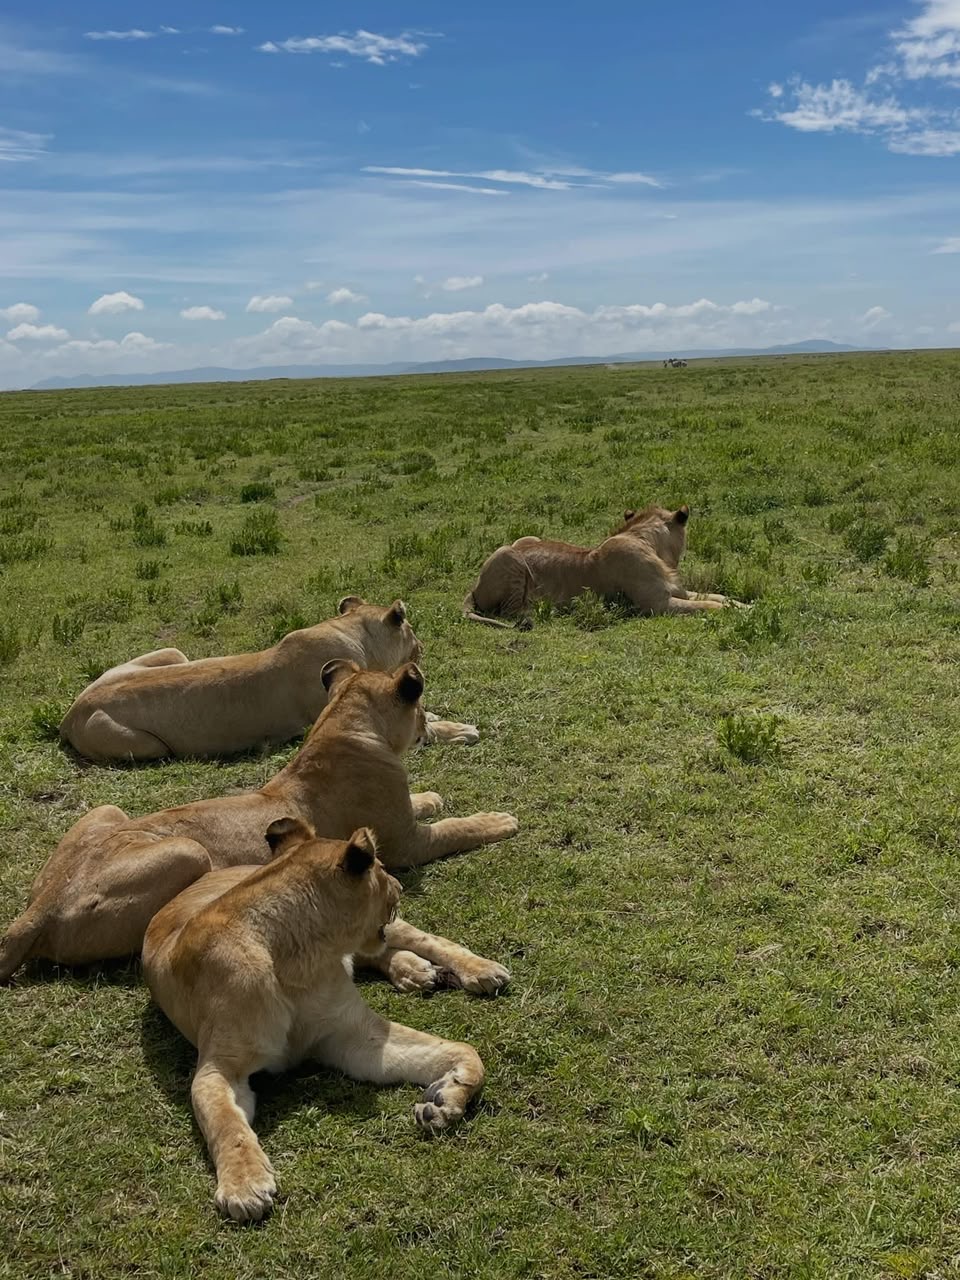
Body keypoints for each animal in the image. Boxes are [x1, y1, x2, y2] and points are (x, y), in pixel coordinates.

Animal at [0, 661, 518, 989]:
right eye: (422, 709)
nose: (428, 728)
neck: (343, 724)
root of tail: (39, 909)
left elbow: (425, 802)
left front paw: (432, 796)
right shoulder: (406, 844)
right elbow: (457, 827)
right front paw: (499, 819)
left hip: (107, 811)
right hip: (188, 853)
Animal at [59, 596, 479, 762]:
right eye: (411, 628)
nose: (421, 646)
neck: (350, 632)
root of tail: (70, 713)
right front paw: (461, 730)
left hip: (172, 654)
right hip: (150, 747)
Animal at [143, 818, 487, 1221]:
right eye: (381, 868)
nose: (400, 885)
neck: (302, 958)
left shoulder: (354, 1034)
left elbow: (465, 1051)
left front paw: (447, 1100)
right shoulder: (220, 1069)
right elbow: (225, 1122)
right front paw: (244, 1186)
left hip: (400, 930)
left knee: (425, 940)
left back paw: (481, 971)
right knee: (380, 954)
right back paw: (413, 972)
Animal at [463, 504, 738, 628]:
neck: (645, 540)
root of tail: (474, 587)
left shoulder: (677, 591)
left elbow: (719, 596)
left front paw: (744, 606)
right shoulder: (658, 604)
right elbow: (710, 605)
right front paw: (737, 613)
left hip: (527, 538)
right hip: (507, 553)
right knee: (509, 611)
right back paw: (544, 611)